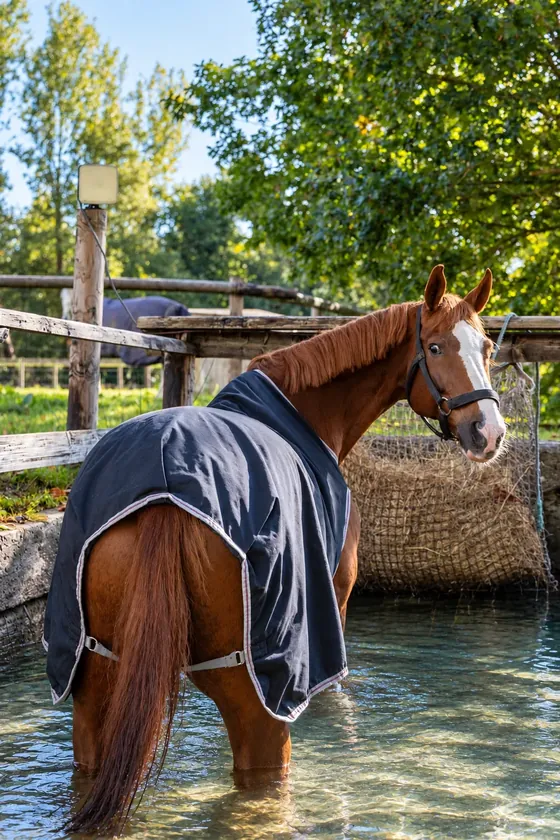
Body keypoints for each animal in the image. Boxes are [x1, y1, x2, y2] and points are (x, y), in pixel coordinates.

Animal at [50, 265, 506, 834]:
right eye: (437, 346)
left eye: (487, 347)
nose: (489, 432)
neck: (303, 416)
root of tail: (165, 490)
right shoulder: (335, 600)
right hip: (256, 694)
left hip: (92, 675)